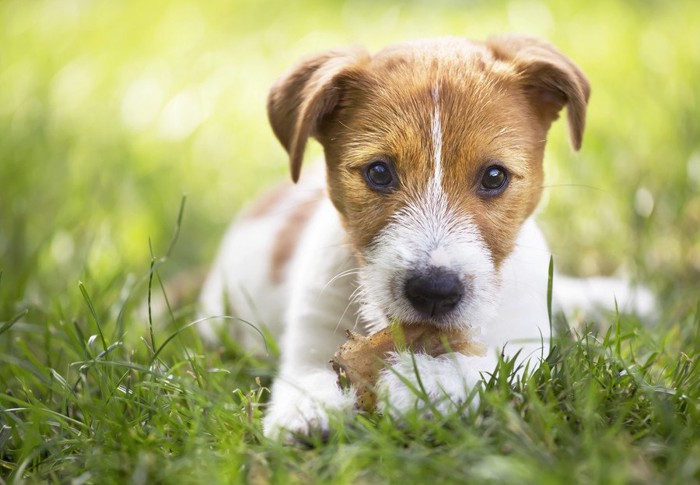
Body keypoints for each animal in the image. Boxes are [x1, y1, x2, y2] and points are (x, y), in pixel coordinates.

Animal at [196, 36, 652, 440]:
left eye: (494, 176)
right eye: (379, 173)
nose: (434, 290)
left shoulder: (526, 343)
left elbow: (487, 364)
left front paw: (420, 383)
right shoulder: (311, 336)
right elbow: (307, 377)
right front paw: (307, 414)